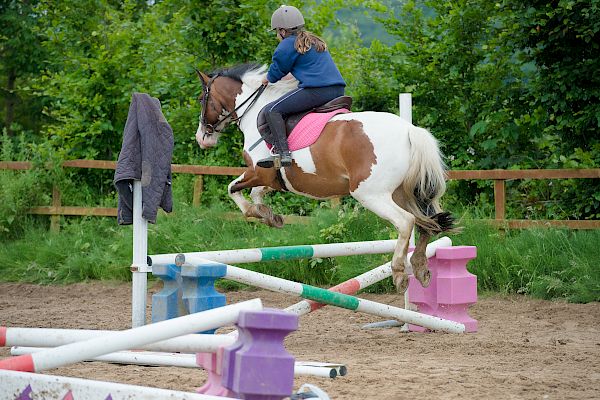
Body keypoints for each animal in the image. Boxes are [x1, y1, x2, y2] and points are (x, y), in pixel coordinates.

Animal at [197, 64, 454, 292]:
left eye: (201, 99)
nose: (202, 138)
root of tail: (410, 130)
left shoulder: (259, 171)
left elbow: (233, 188)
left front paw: (257, 212)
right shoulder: (272, 180)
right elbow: (253, 193)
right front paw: (269, 216)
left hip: (370, 194)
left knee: (406, 222)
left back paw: (399, 272)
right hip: (404, 193)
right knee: (426, 222)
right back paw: (420, 267)